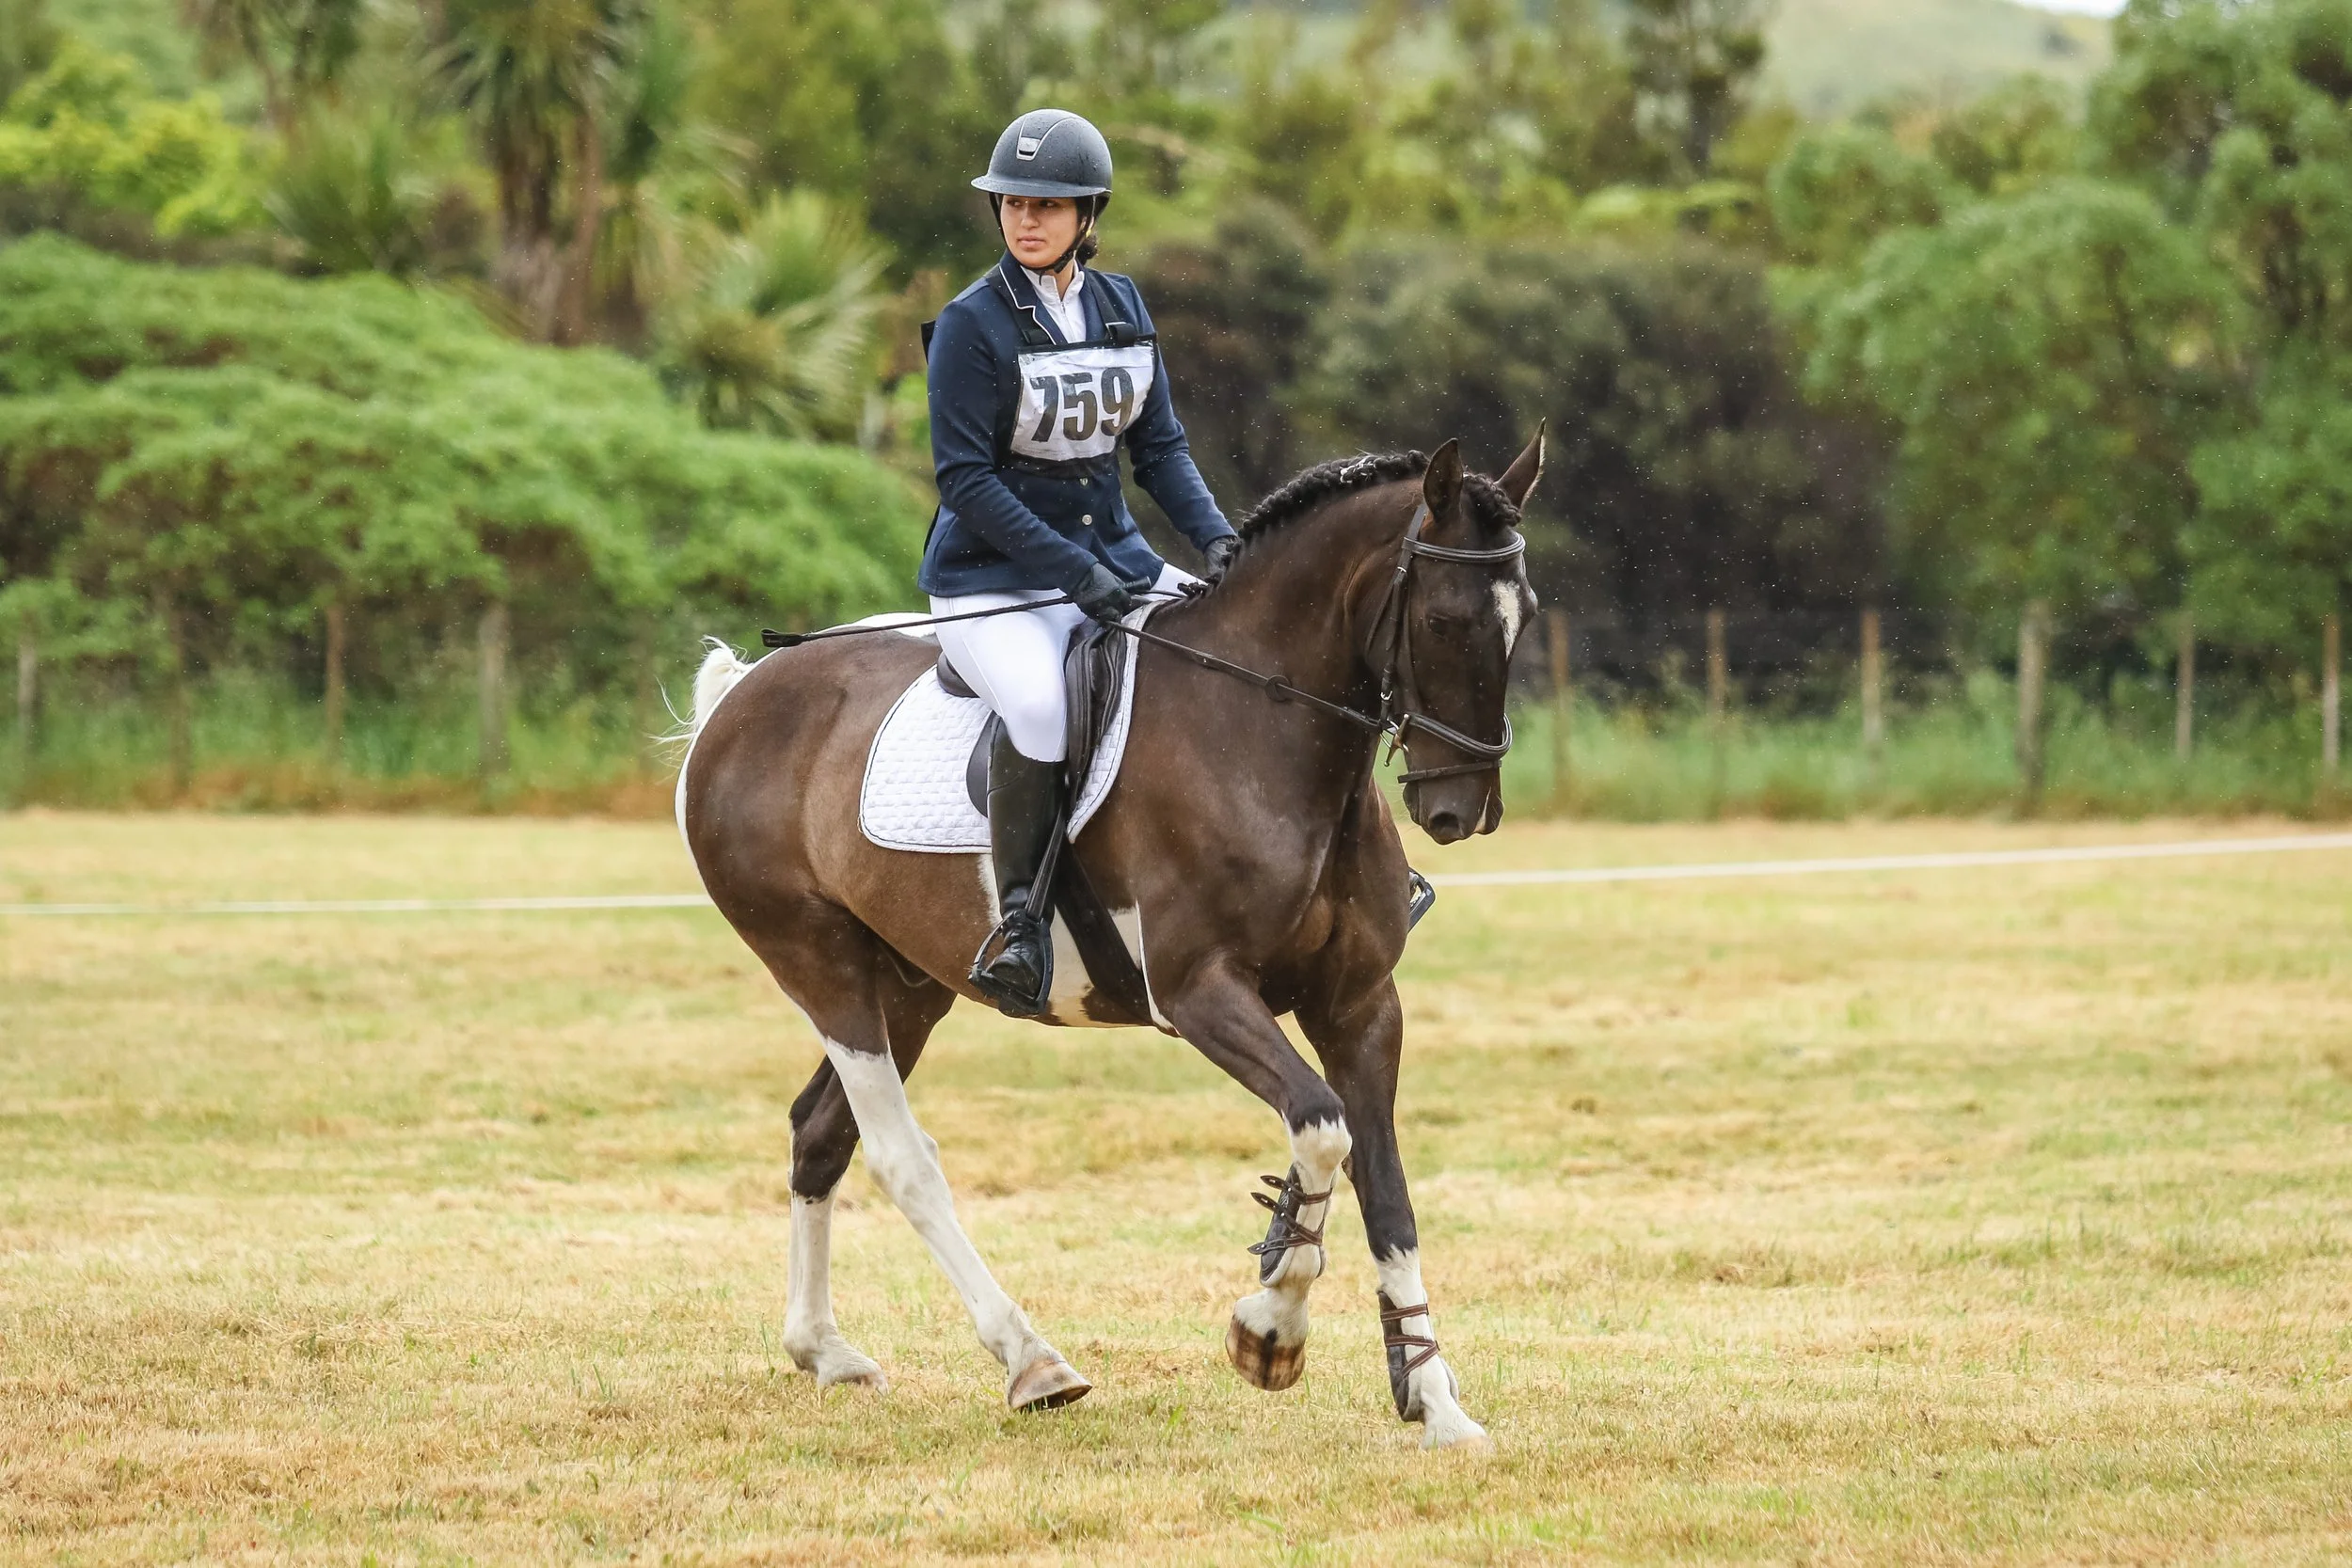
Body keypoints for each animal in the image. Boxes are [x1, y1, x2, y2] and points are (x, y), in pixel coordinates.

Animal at [675, 432, 1542, 1449]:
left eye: (1523, 616)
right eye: (1443, 620)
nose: (1461, 809)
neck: (1262, 730)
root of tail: (742, 696)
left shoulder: (1360, 1003)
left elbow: (1382, 1179)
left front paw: (1432, 1395)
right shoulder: (1200, 991)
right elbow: (1323, 1128)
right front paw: (1270, 1328)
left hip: (910, 983)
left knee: (821, 1131)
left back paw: (825, 1349)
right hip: (821, 962)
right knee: (897, 1153)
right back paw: (1031, 1358)